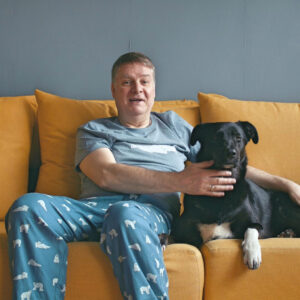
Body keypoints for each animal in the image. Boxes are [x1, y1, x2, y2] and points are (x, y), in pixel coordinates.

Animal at [171, 121, 300, 270]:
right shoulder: (183, 231)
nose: (231, 153)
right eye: (216, 137)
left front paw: (252, 253)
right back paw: (287, 234)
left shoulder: (257, 224)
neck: (222, 195)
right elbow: (170, 237)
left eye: (238, 138)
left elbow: (250, 229)